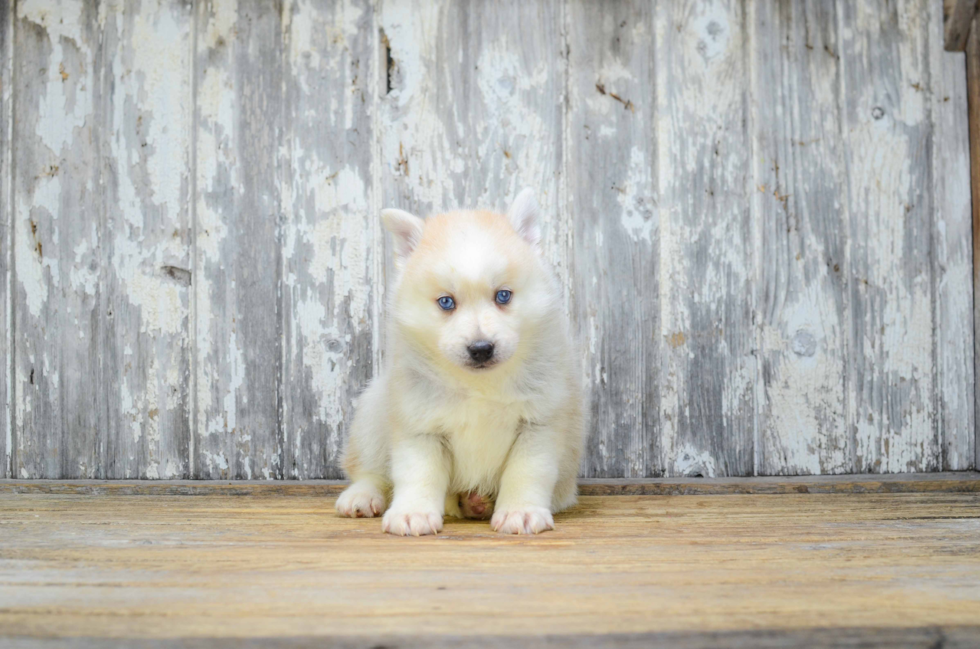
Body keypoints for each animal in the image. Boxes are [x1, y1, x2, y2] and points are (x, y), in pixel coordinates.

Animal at [336, 189, 584, 536]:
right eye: (446, 302)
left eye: (503, 296)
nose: (481, 349)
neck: (478, 385)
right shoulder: (420, 425)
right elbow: (417, 474)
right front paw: (412, 513)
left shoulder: (538, 425)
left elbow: (526, 473)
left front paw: (520, 511)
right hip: (372, 414)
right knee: (371, 471)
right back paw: (361, 497)